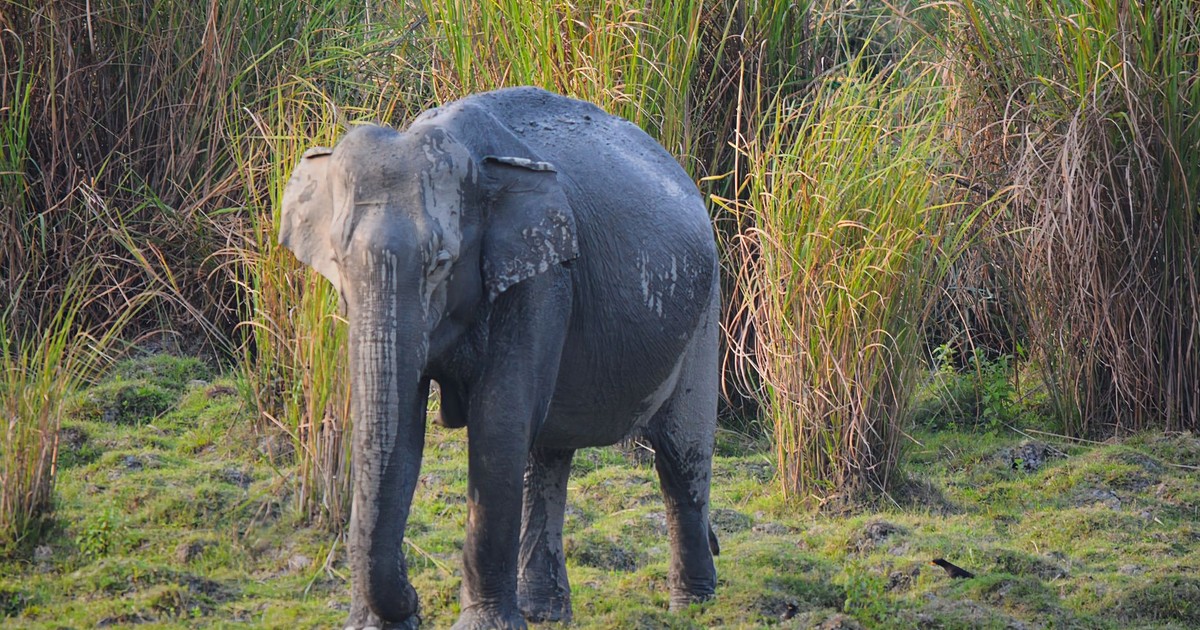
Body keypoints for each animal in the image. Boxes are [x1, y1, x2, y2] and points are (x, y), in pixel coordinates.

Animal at [279, 87, 720, 629]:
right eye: (338, 262)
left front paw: (481, 625)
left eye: (440, 264)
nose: (415, 600)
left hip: (705, 312)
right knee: (547, 453)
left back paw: (693, 605)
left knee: (680, 456)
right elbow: (403, 431)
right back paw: (546, 611)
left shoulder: (542, 277)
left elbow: (498, 420)